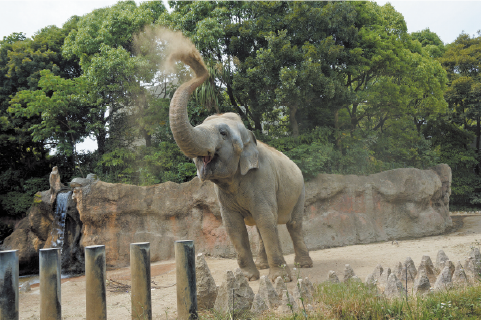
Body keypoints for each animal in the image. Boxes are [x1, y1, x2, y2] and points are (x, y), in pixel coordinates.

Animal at [168, 46, 312, 282]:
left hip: (300, 190)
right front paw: (248, 278)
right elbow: (233, 226)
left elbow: (265, 218)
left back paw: (304, 265)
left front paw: (279, 279)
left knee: (293, 224)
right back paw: (264, 266)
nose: (190, 55)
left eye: (223, 133)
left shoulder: (262, 179)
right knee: (263, 229)